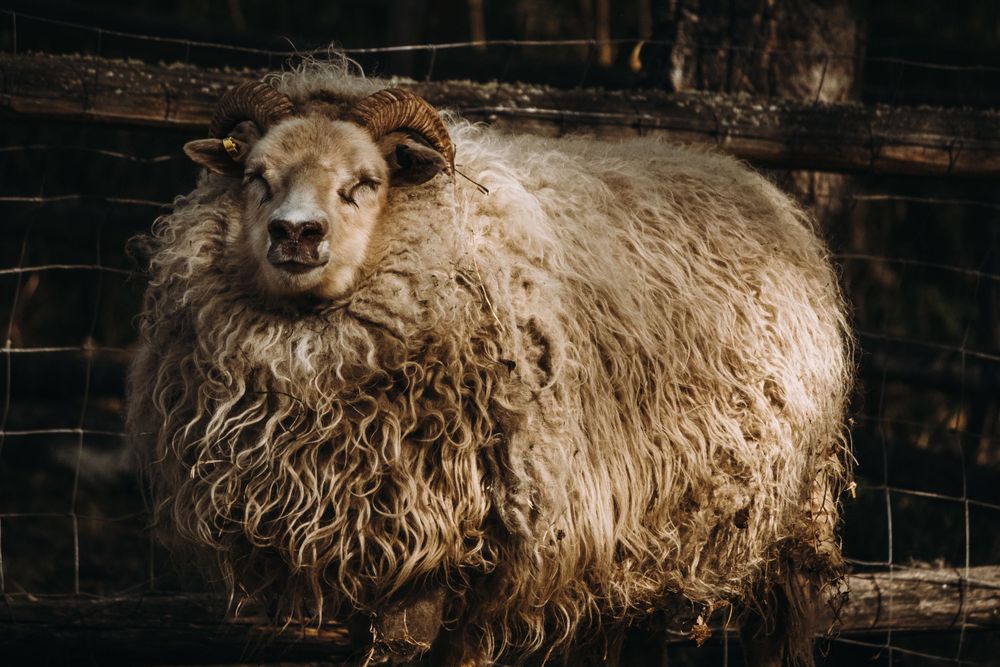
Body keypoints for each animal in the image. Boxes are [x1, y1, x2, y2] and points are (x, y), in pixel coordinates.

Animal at [127, 60, 853, 666]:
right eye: (256, 177)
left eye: (364, 183)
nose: (296, 233)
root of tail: (762, 191)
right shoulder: (366, 544)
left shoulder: (471, 545)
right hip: (649, 538)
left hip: (791, 517)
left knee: (782, 630)